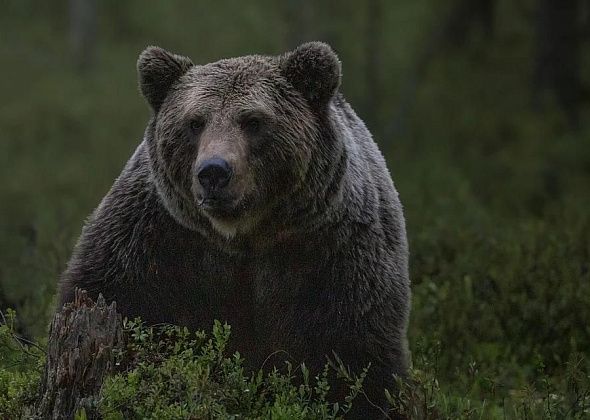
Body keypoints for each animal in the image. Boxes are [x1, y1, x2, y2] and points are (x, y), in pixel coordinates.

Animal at [59, 42, 412, 416]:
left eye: (253, 121)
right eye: (194, 122)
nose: (213, 172)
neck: (243, 236)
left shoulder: (333, 254)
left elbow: (354, 356)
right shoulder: (154, 240)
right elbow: (115, 297)